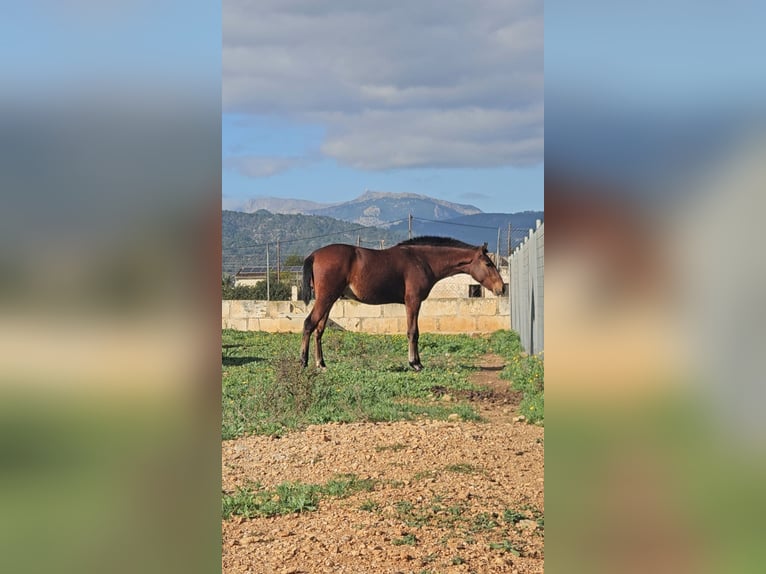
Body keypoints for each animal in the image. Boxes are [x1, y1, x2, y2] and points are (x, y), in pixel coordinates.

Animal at [302, 238, 510, 374]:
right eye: (488, 263)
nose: (501, 287)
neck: (422, 260)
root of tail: (314, 255)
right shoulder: (413, 301)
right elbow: (413, 332)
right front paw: (415, 363)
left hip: (329, 300)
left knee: (319, 330)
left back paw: (321, 364)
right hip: (326, 298)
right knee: (308, 324)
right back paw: (303, 361)